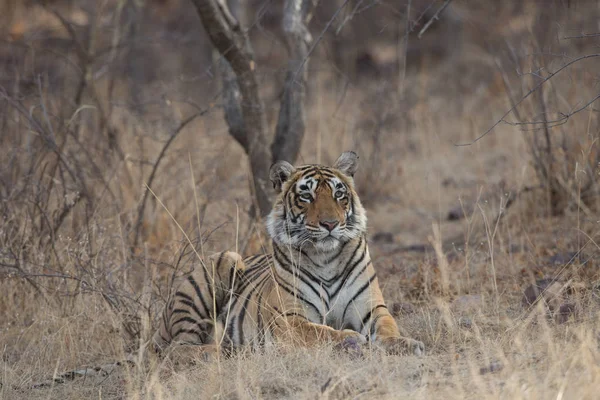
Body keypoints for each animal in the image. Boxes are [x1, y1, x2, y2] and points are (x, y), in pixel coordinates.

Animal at [152, 151, 424, 356]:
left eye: (339, 194)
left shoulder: (371, 308)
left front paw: (407, 344)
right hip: (219, 265)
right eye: (307, 196)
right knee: (179, 348)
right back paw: (228, 352)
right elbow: (318, 332)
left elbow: (388, 327)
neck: (326, 258)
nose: (330, 224)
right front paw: (350, 339)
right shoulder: (288, 318)